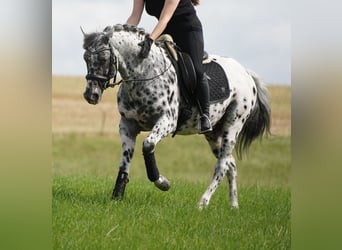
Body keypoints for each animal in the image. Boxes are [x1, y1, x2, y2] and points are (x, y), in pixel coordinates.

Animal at [81, 24, 272, 209]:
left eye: (103, 59)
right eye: (85, 59)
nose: (90, 95)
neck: (144, 73)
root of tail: (246, 73)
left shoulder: (167, 121)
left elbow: (148, 145)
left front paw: (162, 182)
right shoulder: (128, 124)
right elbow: (125, 159)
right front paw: (117, 196)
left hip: (233, 125)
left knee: (222, 165)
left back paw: (202, 203)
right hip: (213, 133)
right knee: (231, 165)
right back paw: (233, 205)